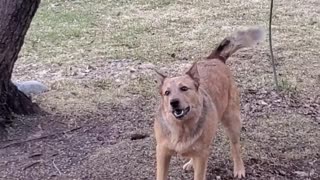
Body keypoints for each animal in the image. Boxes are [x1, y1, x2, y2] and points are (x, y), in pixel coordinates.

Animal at [154, 27, 264, 179]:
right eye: (167, 92)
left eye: (184, 88)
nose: (173, 102)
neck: (182, 127)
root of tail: (215, 58)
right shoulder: (162, 152)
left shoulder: (201, 156)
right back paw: (190, 162)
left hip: (232, 120)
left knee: (235, 146)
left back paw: (239, 168)